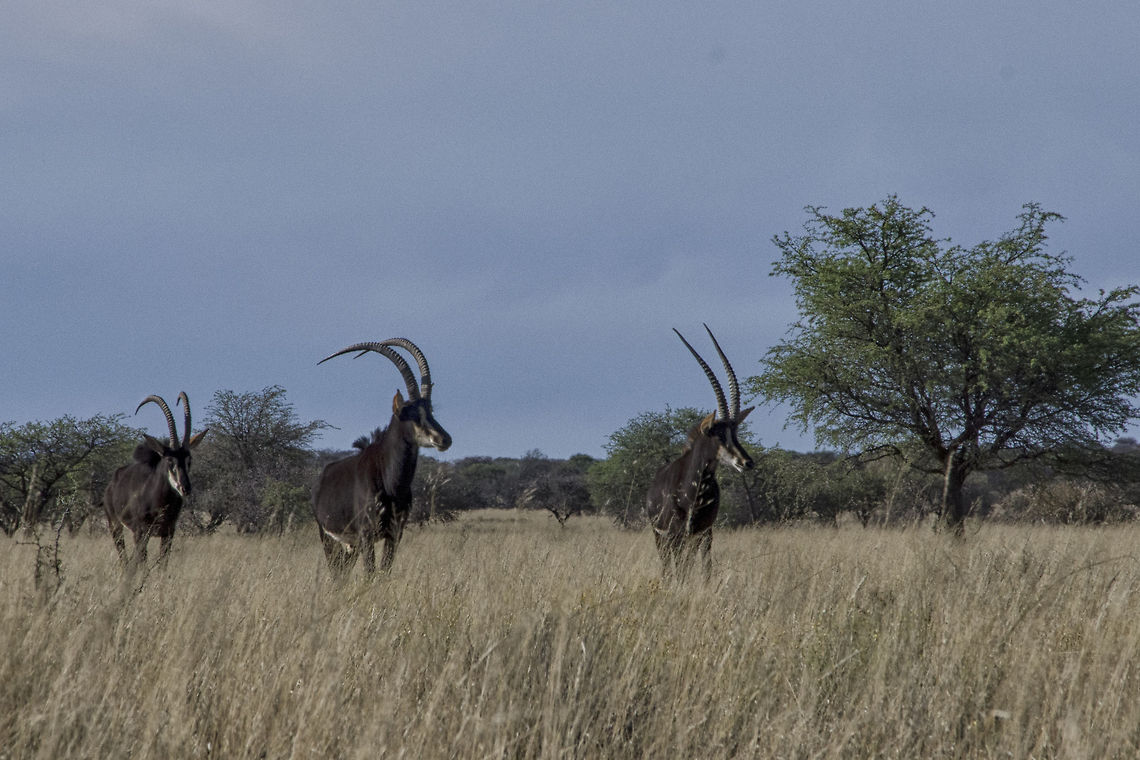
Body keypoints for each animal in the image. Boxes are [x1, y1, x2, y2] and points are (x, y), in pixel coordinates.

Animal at [103, 393, 208, 567]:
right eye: (170, 461)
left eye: (189, 460)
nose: (185, 488)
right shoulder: (140, 533)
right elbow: (143, 564)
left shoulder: (168, 533)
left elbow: (162, 565)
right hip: (116, 526)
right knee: (124, 558)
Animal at [313, 337, 451, 577]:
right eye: (411, 413)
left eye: (430, 410)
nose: (444, 439)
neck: (391, 482)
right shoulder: (367, 534)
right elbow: (370, 574)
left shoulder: (395, 534)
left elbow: (384, 572)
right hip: (330, 539)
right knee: (336, 574)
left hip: (350, 546)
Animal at [646, 325, 754, 580]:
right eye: (718, 435)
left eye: (735, 433)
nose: (746, 462)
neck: (691, 491)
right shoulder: (676, 534)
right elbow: (681, 570)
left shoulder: (705, 532)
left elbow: (706, 570)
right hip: (661, 537)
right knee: (669, 568)